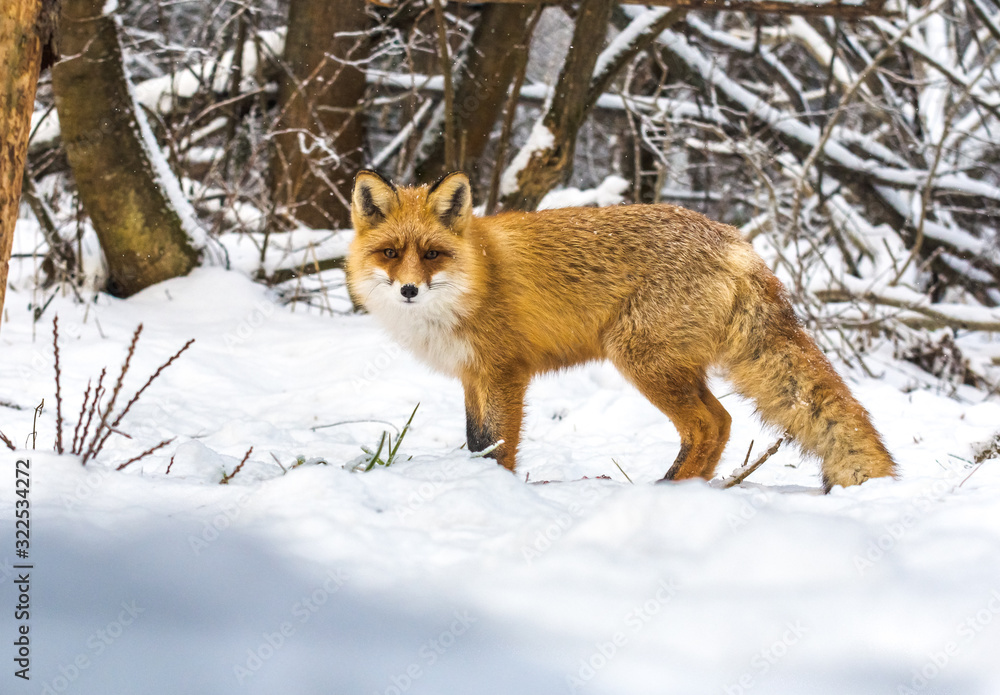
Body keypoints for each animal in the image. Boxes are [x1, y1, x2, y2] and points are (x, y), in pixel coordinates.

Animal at [346, 170, 897, 491]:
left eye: (432, 254)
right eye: (390, 253)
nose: (409, 290)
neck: (476, 276)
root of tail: (737, 242)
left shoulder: (505, 372)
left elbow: (498, 444)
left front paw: (493, 491)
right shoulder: (471, 375)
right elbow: (475, 439)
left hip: (639, 359)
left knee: (708, 424)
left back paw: (668, 491)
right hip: (672, 365)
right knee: (721, 423)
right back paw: (690, 489)